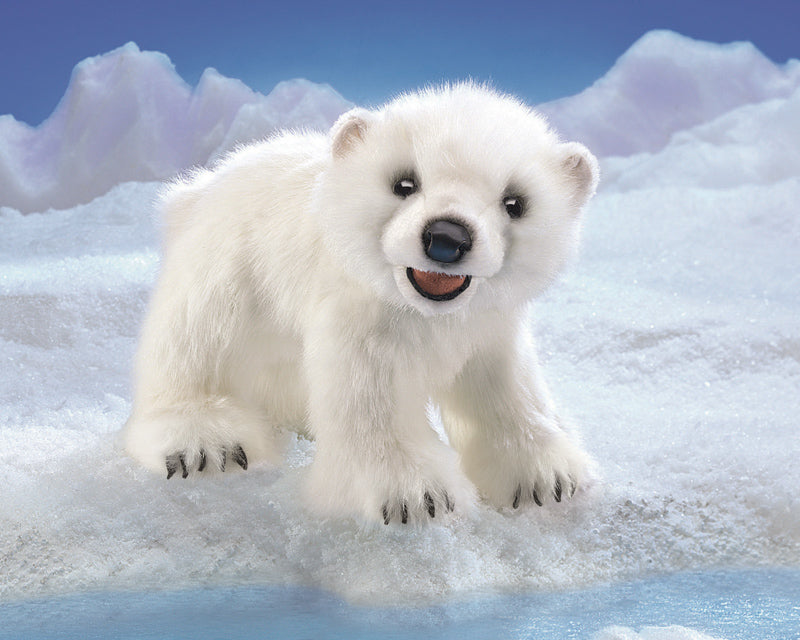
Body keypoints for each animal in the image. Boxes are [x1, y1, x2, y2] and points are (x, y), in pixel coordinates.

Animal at [123, 83, 599, 525]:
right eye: (404, 183)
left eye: (515, 202)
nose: (447, 236)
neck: (427, 313)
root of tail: (196, 189)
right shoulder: (364, 321)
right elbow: (372, 400)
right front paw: (416, 497)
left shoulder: (488, 326)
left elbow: (506, 387)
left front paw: (546, 479)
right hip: (230, 267)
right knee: (196, 340)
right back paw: (207, 444)